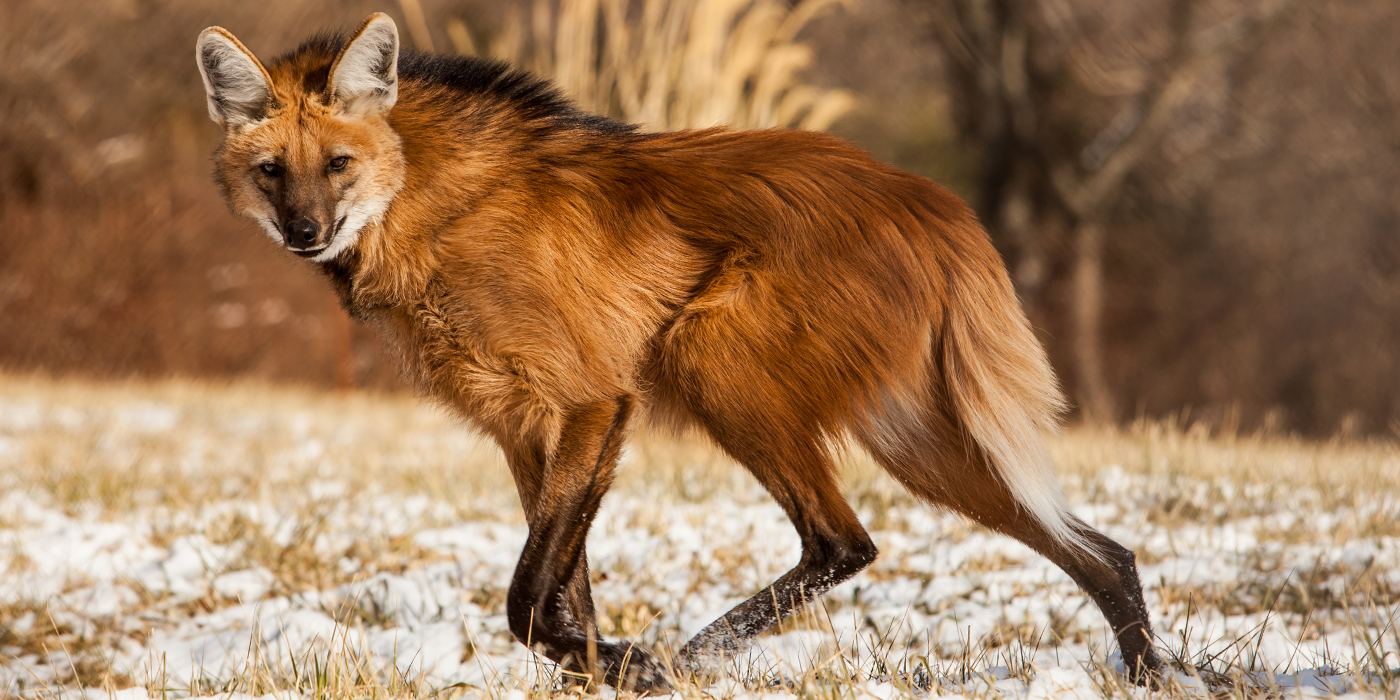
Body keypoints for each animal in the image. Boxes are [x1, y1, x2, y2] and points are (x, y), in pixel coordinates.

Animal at [194, 13, 1159, 691]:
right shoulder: (523, 428)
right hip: (916, 439)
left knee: (843, 542)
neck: (431, 207)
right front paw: (603, 668)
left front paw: (635, 664)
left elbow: (529, 599)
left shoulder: (593, 399)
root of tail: (935, 202)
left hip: (713, 358)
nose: (306, 233)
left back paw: (694, 654)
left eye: (339, 163)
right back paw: (1155, 675)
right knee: (1101, 552)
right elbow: (563, 592)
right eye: (274, 171)